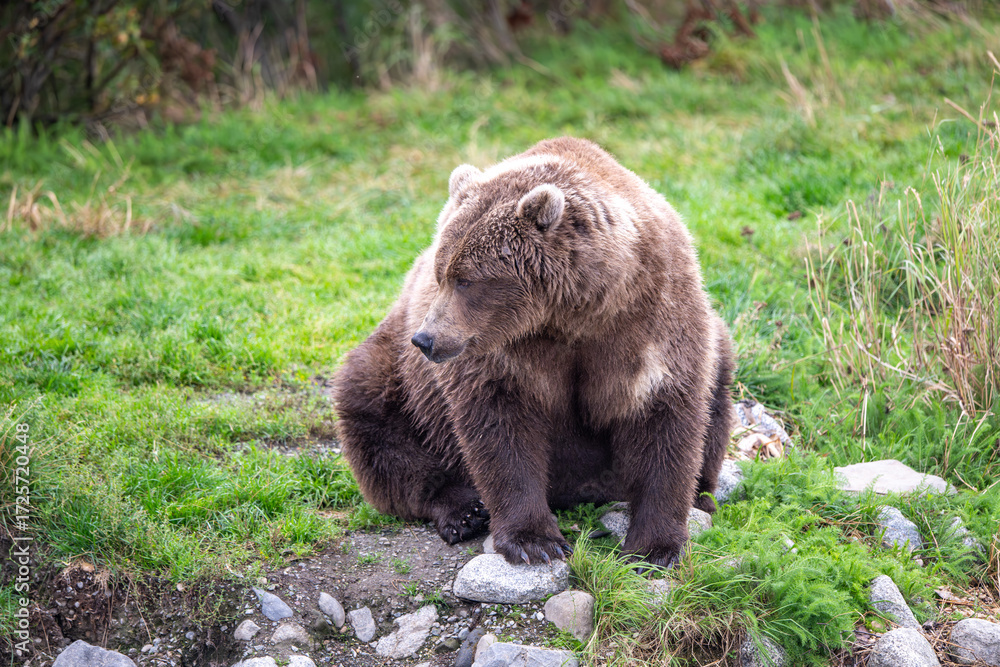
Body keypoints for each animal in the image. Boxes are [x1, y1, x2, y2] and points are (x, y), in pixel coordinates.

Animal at [333, 137, 734, 568]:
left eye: (465, 280)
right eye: (440, 274)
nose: (425, 339)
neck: (569, 315)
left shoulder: (649, 323)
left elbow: (665, 421)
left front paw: (654, 548)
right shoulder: (503, 355)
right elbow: (502, 432)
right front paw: (534, 541)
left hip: (718, 344)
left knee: (718, 399)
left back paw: (702, 496)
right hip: (401, 375)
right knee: (374, 413)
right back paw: (463, 511)